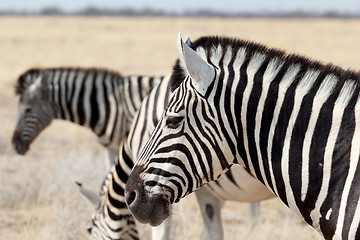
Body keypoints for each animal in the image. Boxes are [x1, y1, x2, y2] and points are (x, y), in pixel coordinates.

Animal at [81, 62, 272, 239]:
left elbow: (163, 233)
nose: (131, 197)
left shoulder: (161, 187)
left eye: (89, 228)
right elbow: (212, 229)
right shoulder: (203, 188)